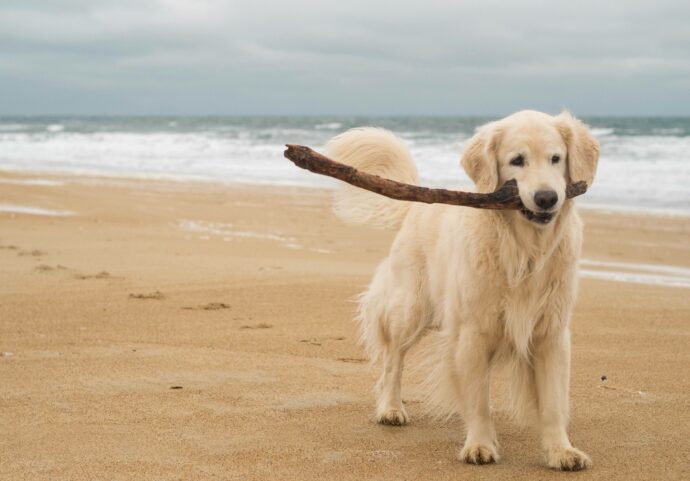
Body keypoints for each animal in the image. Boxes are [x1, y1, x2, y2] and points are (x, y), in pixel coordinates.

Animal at [326, 109, 596, 468]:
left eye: (556, 158)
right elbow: (478, 400)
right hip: (410, 309)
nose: (547, 198)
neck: (524, 251)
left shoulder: (551, 333)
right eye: (517, 160)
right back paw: (391, 408)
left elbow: (553, 402)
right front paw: (479, 445)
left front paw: (561, 451)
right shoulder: (473, 332)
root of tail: (416, 205)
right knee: (392, 359)